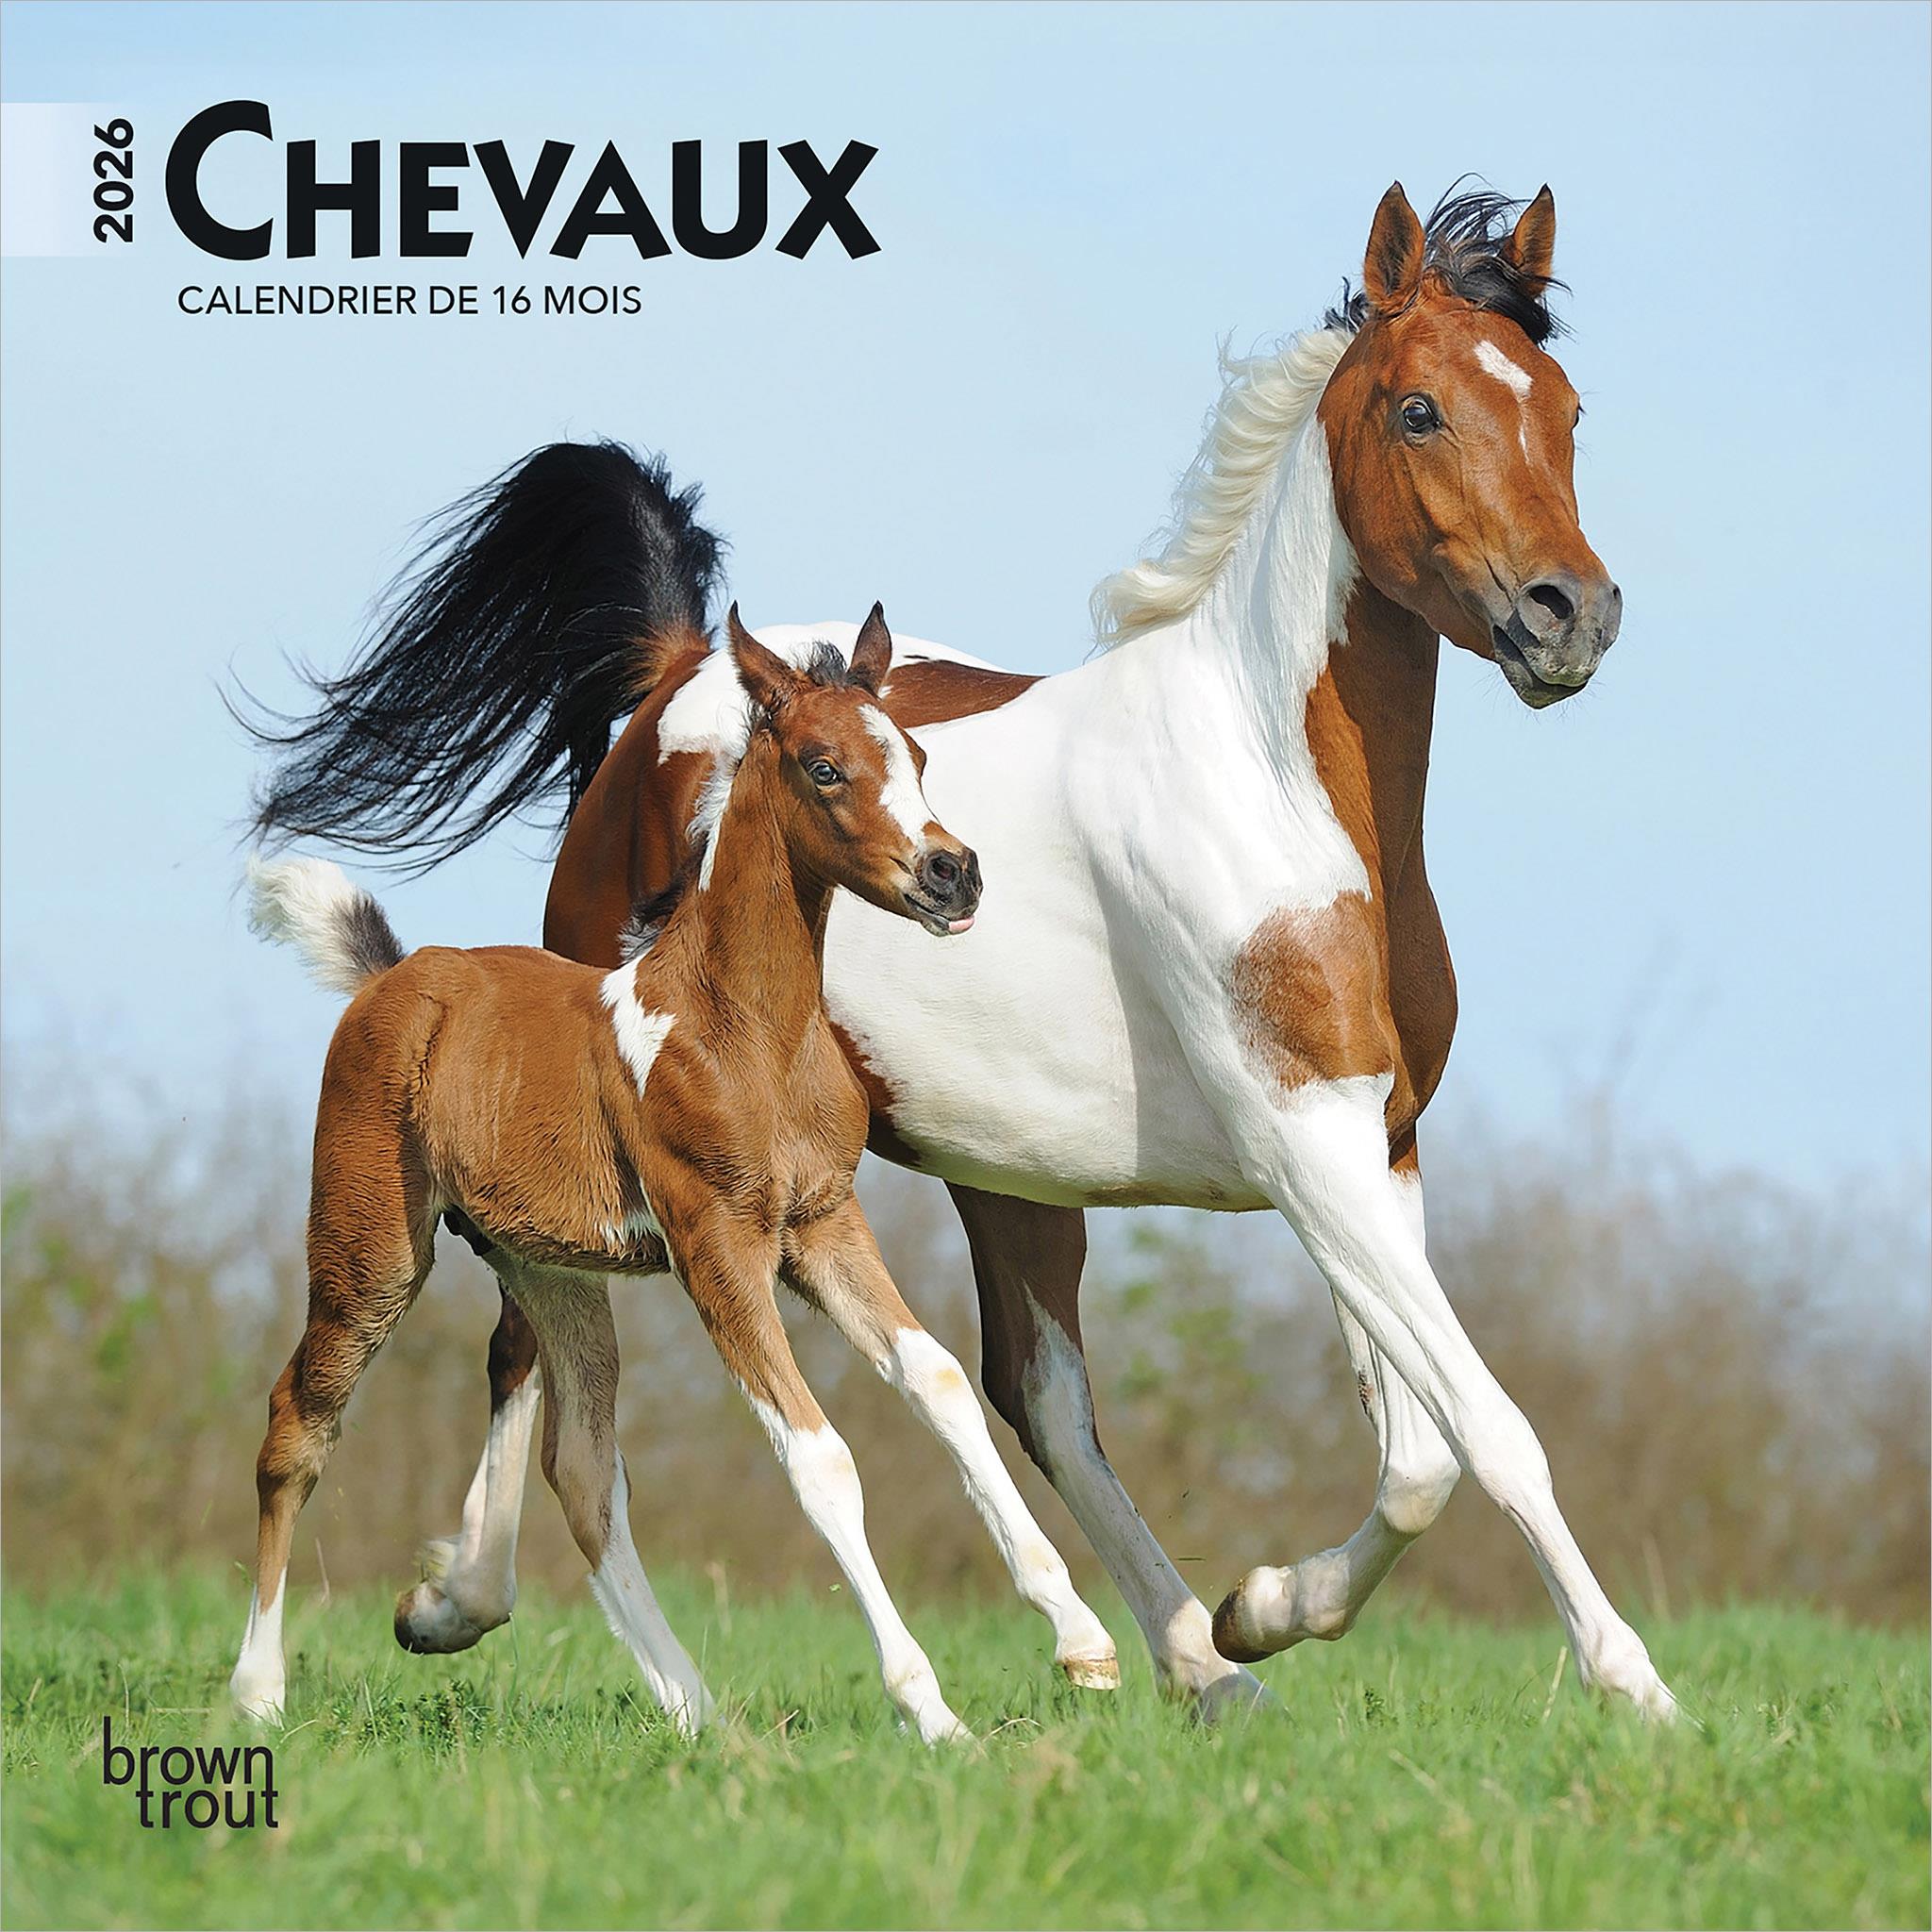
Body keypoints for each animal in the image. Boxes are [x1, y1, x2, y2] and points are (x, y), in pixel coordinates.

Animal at [231, 608, 1118, 1741]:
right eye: (824, 766)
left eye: (915, 756)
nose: (950, 875)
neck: (740, 1026)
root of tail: (394, 977)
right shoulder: (717, 1244)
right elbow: (819, 1457)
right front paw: (933, 1713)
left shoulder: (822, 1223)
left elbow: (940, 1380)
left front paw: (1082, 1639)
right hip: (371, 1244)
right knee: (297, 1423)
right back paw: (257, 1693)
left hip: (551, 1271)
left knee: (581, 1471)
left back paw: (697, 1710)